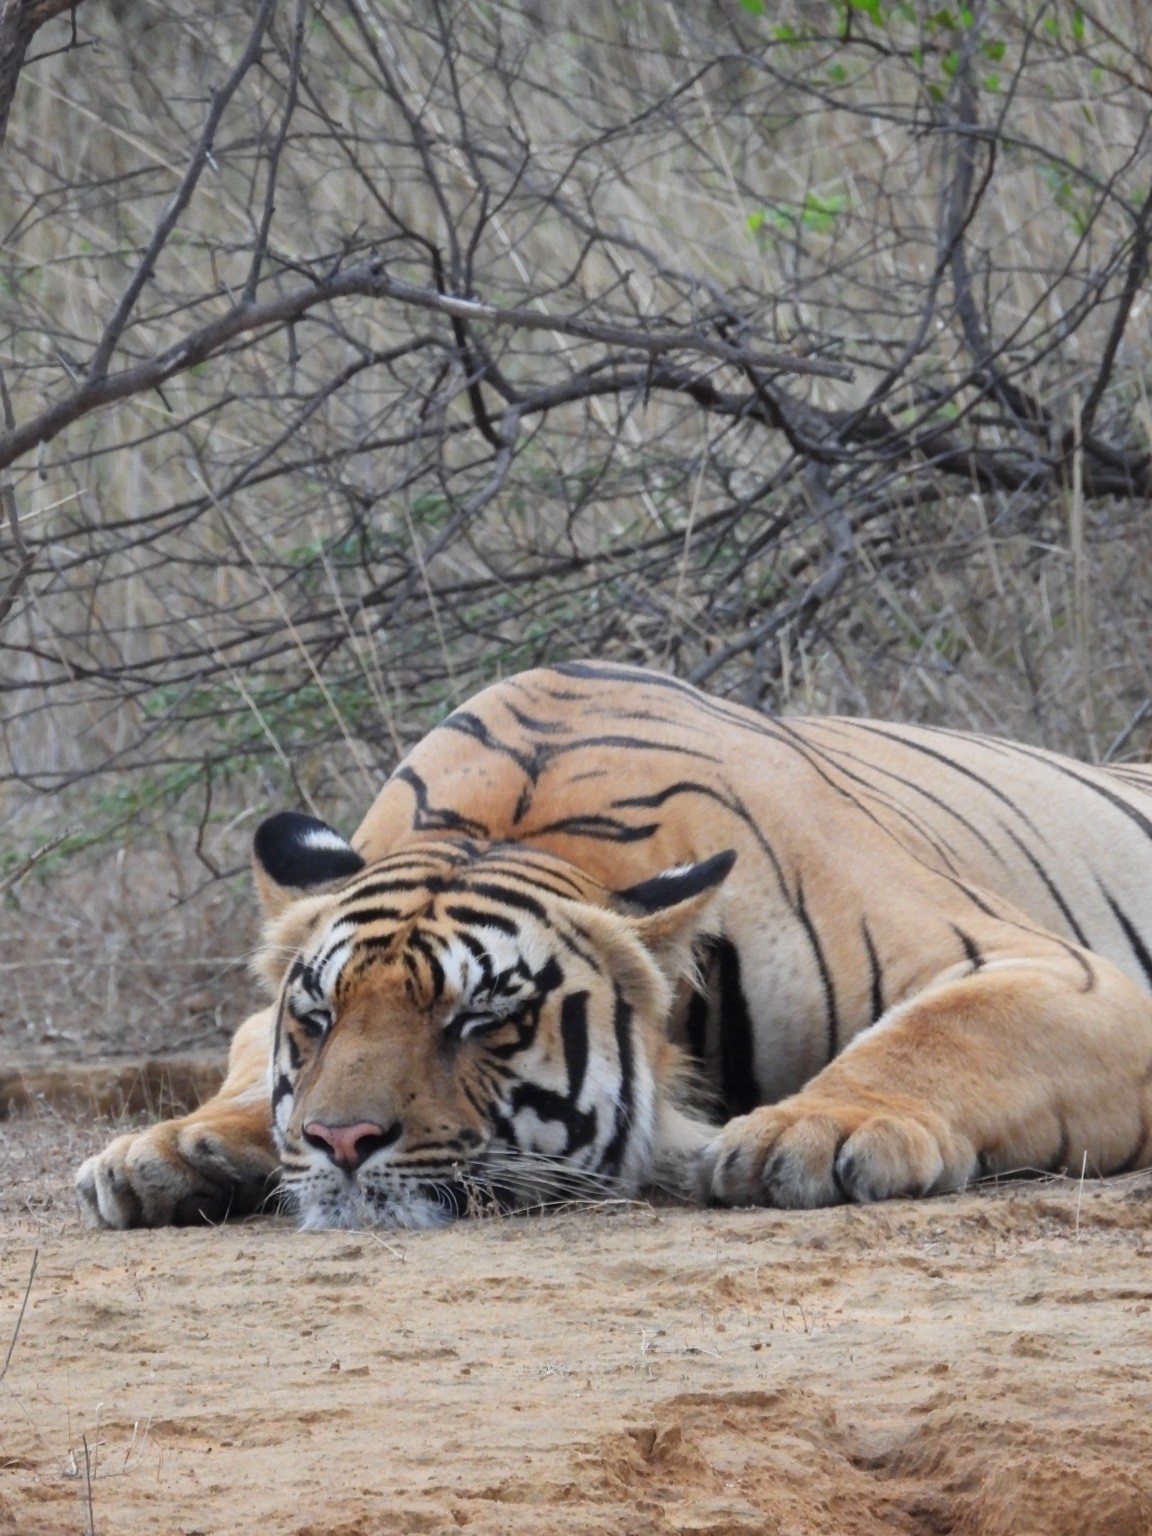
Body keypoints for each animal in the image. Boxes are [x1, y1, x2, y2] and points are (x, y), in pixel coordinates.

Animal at [76, 659, 1152, 1230]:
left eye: (482, 1021)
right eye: (317, 1016)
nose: (342, 1143)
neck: (513, 821)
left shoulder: (1057, 970)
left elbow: (941, 1035)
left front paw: (814, 1129)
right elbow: (240, 1066)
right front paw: (171, 1149)